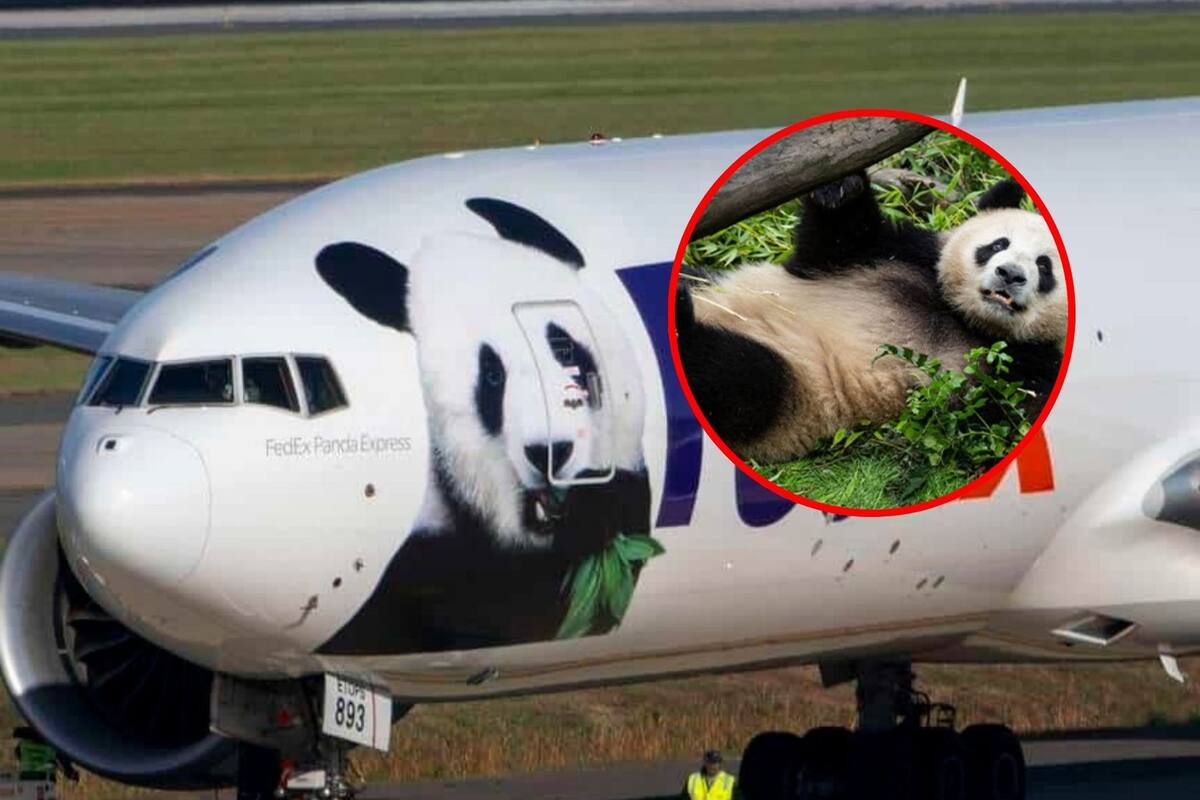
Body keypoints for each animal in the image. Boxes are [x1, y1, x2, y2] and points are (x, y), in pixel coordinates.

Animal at [676, 172, 1067, 464]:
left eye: (1044, 267)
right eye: (998, 244)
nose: (1010, 274)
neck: (961, 316)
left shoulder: (1026, 367)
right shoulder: (898, 255)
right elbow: (833, 242)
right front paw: (839, 186)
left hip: (796, 389)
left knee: (735, 375)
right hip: (716, 285)